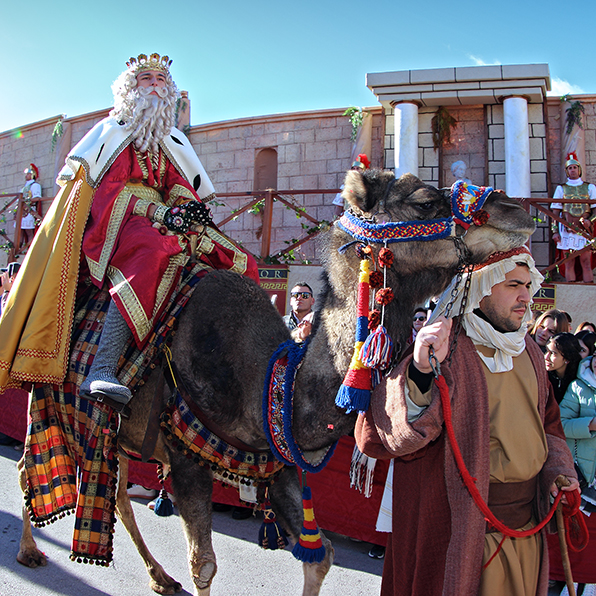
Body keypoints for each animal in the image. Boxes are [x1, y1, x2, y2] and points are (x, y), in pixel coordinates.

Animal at [15, 170, 536, 592]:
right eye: (426, 200)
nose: (516, 209)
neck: (267, 377)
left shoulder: (279, 462)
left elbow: (321, 555)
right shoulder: (185, 457)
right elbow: (204, 565)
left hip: (114, 430)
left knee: (118, 492)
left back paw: (158, 577)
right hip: (52, 398)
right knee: (33, 466)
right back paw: (30, 551)